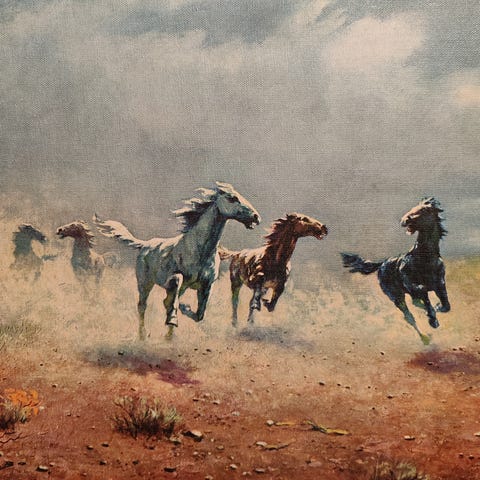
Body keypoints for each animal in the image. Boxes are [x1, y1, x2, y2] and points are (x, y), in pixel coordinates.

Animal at [93, 182, 261, 339]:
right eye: (232, 198)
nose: (256, 217)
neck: (200, 250)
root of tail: (145, 245)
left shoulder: (207, 285)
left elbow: (199, 314)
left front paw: (183, 310)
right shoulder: (174, 278)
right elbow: (175, 288)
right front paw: (176, 316)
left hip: (177, 288)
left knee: (167, 302)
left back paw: (169, 336)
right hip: (144, 283)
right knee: (142, 306)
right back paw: (143, 335)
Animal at [341, 197, 450, 345]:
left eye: (424, 210)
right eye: (414, 208)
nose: (405, 220)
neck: (425, 259)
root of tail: (381, 263)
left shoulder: (440, 285)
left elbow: (446, 305)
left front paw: (436, 309)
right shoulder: (412, 285)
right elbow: (422, 292)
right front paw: (432, 318)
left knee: (415, 304)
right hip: (397, 297)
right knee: (409, 316)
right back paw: (425, 337)